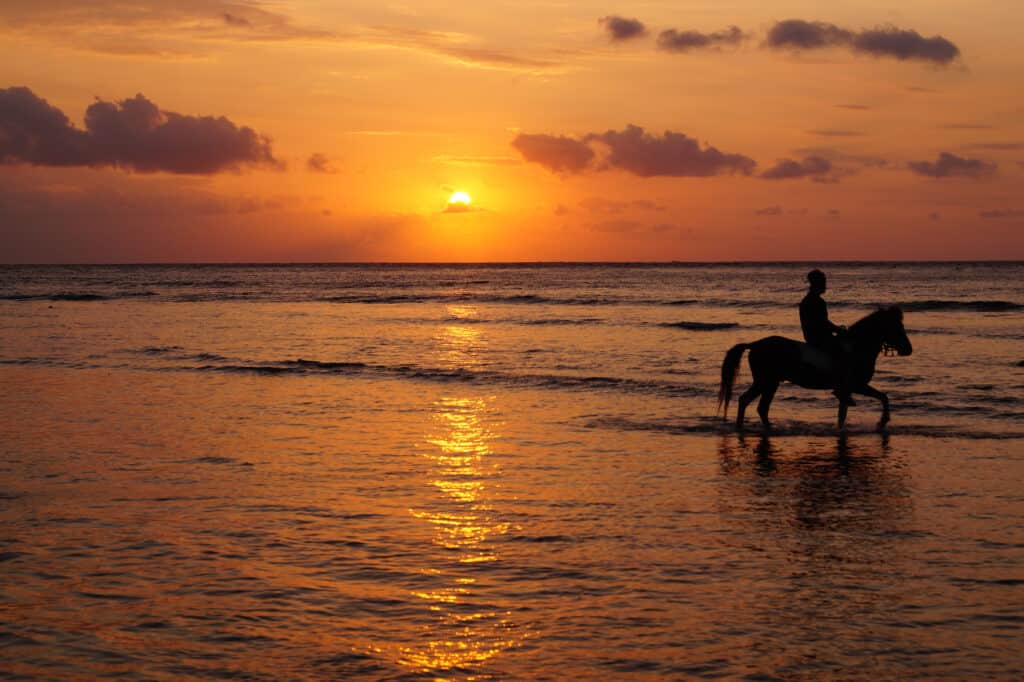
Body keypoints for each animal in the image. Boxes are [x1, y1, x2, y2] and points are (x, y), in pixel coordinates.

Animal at [716, 305, 917, 428]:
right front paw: (883, 422)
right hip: (766, 382)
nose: (908, 349)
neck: (857, 347)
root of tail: (755, 344)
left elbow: (843, 414)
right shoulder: (855, 386)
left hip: (770, 383)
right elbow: (883, 397)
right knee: (748, 401)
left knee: (758, 406)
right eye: (897, 327)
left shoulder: (848, 390)